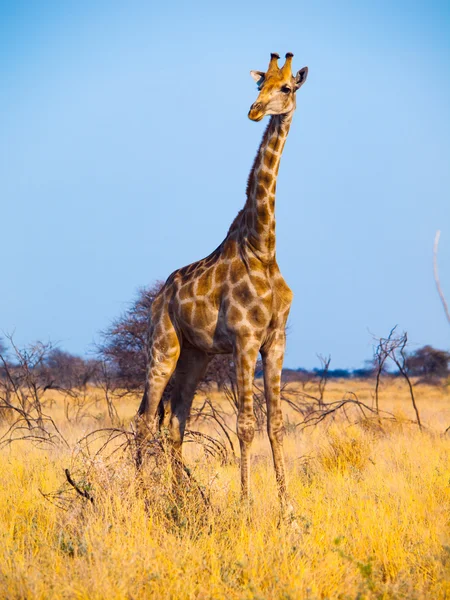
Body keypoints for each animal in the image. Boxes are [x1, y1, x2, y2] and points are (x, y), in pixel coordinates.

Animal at [135, 52, 308, 506]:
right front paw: (247, 506)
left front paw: (288, 509)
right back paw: (138, 495)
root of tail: (158, 298)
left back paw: (181, 497)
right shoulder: (245, 340)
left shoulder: (276, 340)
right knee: (145, 418)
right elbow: (245, 425)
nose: (254, 110)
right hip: (163, 348)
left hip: (196, 355)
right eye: (260, 84)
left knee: (174, 422)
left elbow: (275, 424)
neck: (263, 246)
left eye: (286, 87)